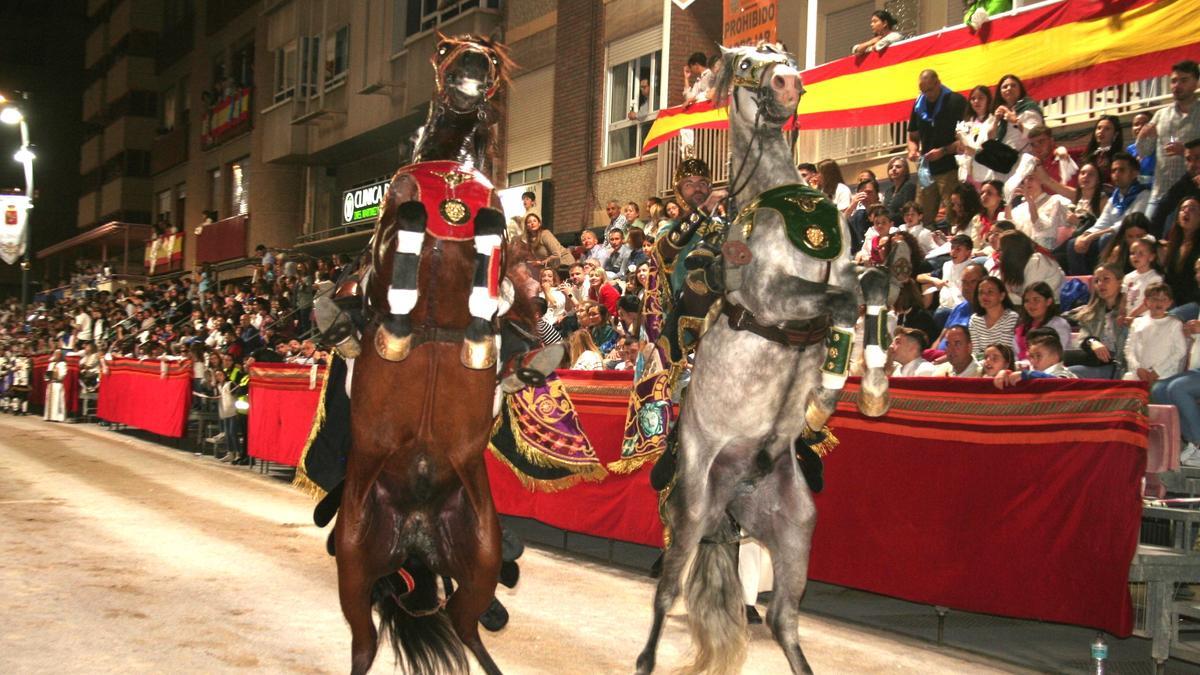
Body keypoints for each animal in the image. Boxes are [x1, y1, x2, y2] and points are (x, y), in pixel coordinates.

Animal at [336, 36, 528, 672]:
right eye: (448, 49)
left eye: (487, 51)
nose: (474, 61)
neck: (448, 179)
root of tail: (416, 530)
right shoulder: (386, 244)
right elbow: (412, 219)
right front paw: (398, 322)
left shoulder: (491, 221)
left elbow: (491, 224)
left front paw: (479, 326)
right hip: (354, 565)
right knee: (364, 645)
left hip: (481, 561)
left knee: (468, 632)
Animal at [638, 44, 892, 667]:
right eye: (747, 64)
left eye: (782, 55)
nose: (789, 82)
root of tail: (735, 497)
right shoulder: (775, 297)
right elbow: (844, 302)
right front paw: (827, 395)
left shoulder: (844, 268)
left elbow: (874, 283)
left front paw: (873, 388)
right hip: (690, 515)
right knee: (665, 595)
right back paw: (645, 658)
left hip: (795, 530)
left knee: (782, 620)